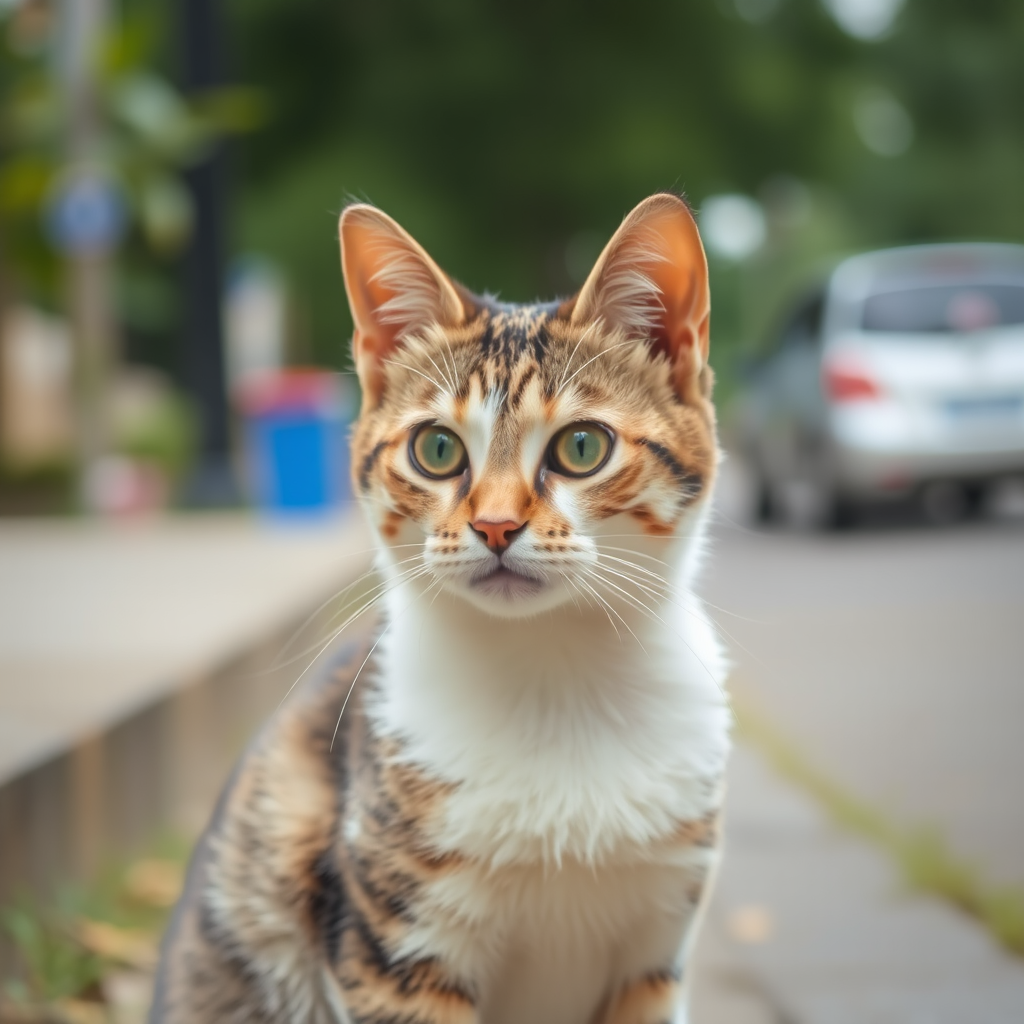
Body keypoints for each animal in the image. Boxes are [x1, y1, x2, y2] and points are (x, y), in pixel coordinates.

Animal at [149, 192, 729, 1024]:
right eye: (437, 450)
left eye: (583, 447)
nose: (495, 525)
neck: (553, 676)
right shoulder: (394, 954)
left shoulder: (654, 954)